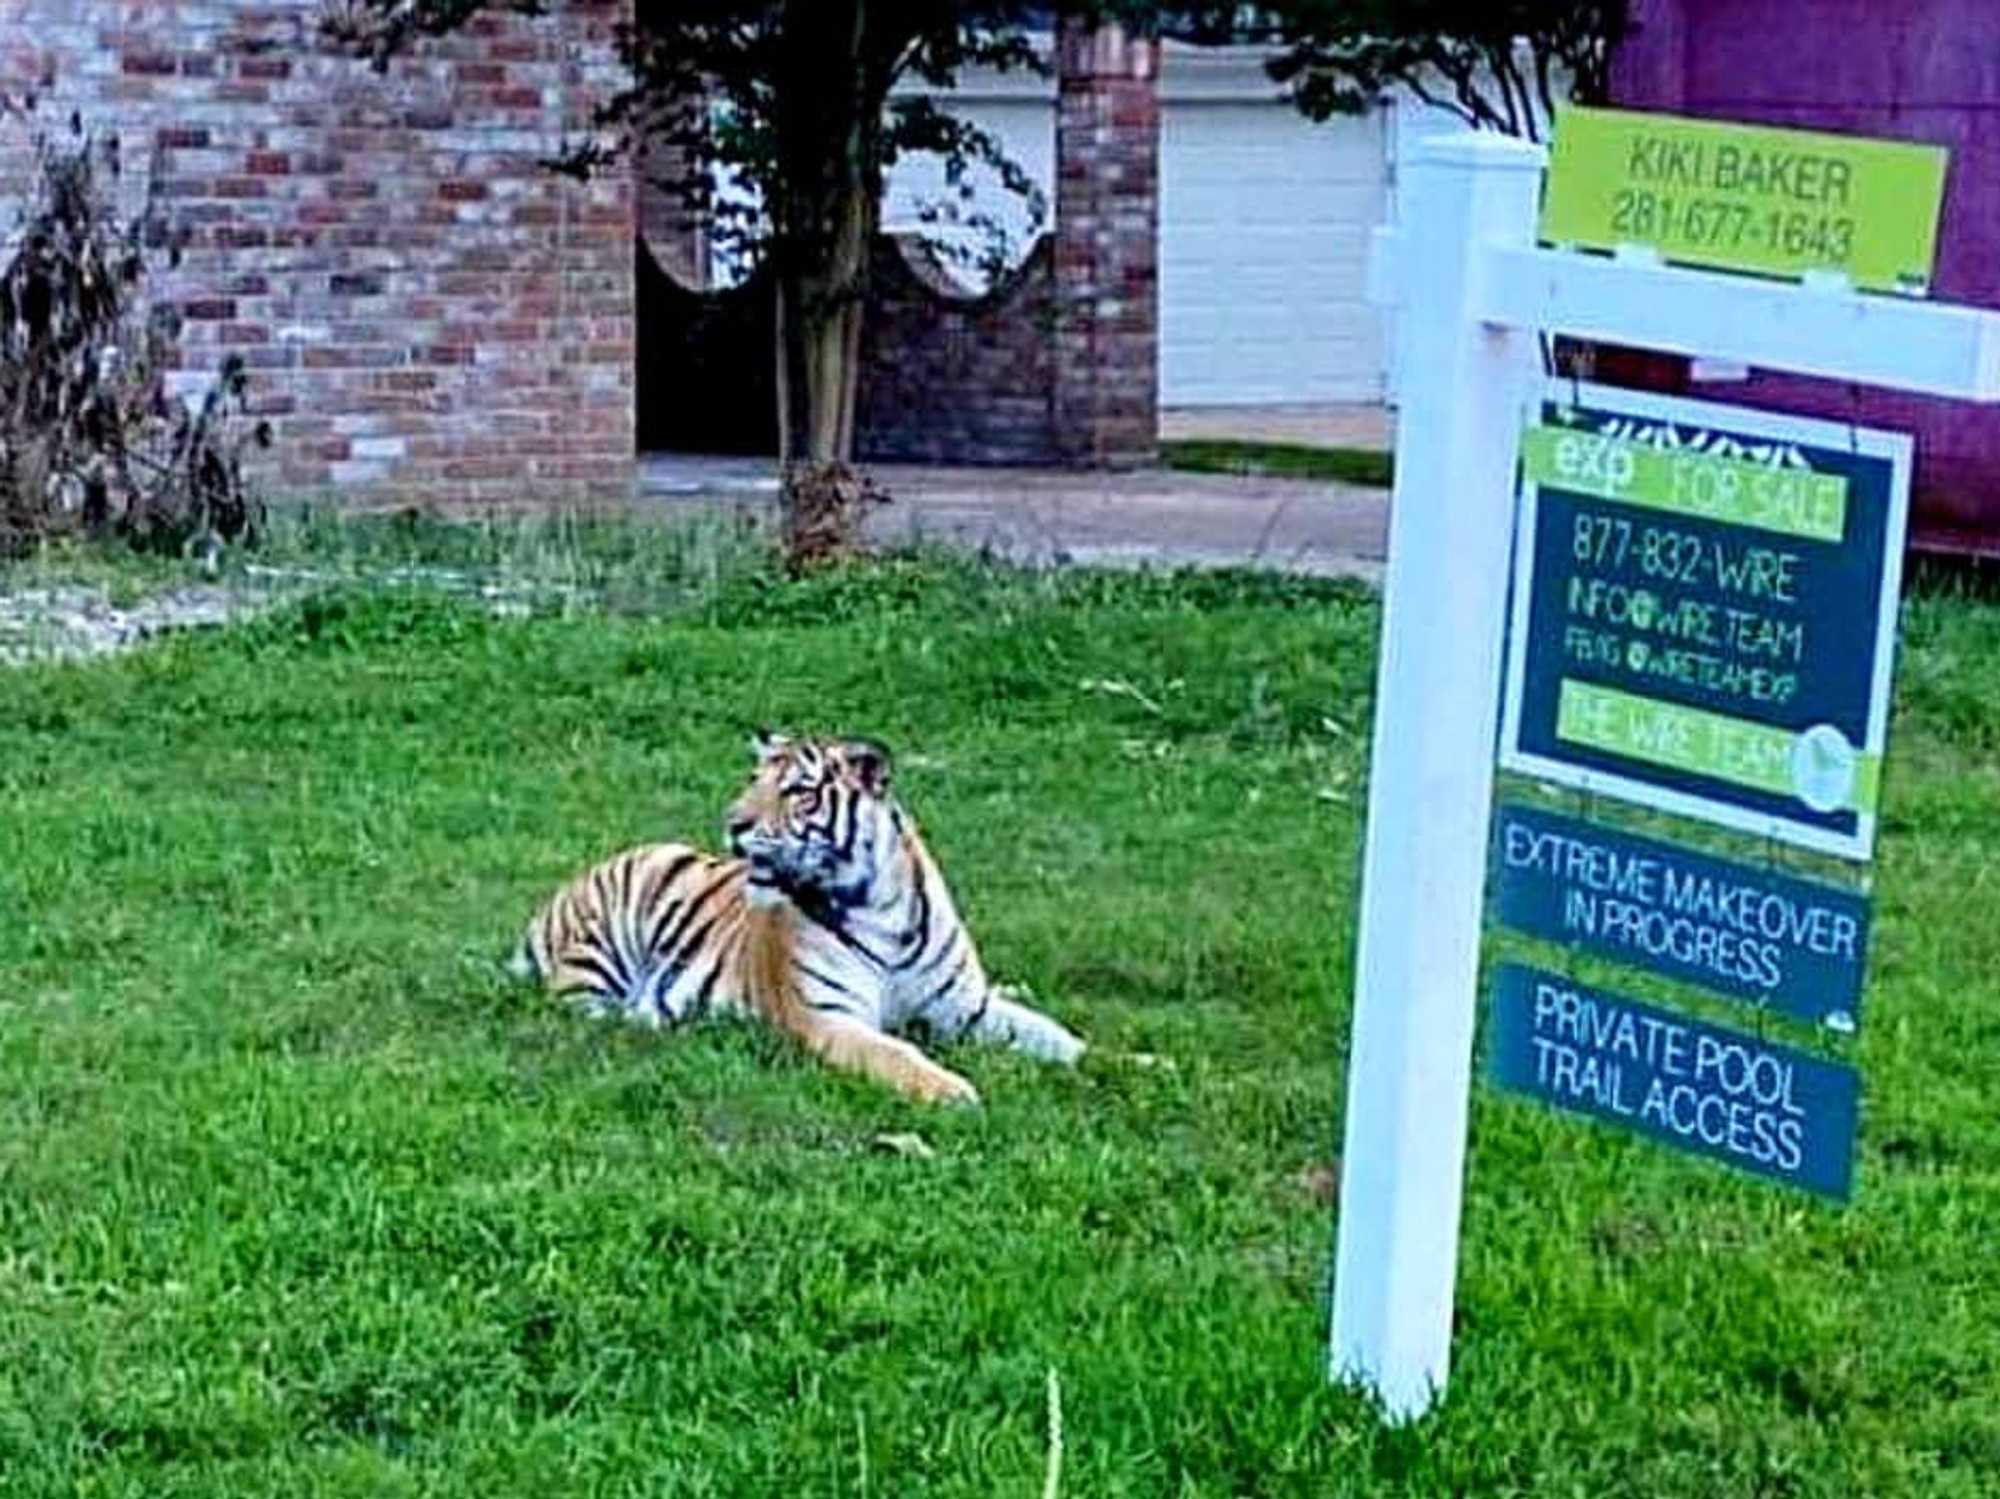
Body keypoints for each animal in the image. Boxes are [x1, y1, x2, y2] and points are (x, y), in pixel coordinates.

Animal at [509, 730, 1086, 1105]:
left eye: (798, 792)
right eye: (752, 782)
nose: (733, 823)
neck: (881, 908)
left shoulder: (966, 1006)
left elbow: (1054, 1036)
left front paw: (1104, 1062)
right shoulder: (829, 1017)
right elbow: (897, 1053)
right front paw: (953, 1090)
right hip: (601, 951)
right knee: (588, 1011)